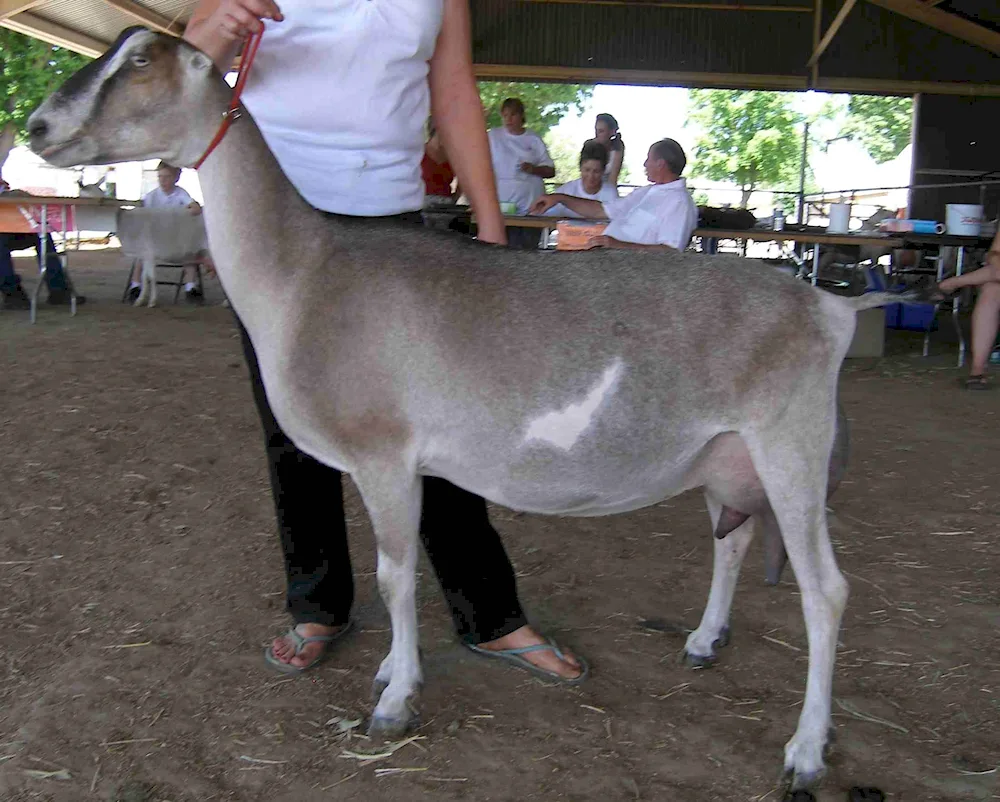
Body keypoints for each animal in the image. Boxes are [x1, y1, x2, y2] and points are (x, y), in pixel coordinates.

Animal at [29, 28, 920, 792]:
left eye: (140, 60)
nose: (37, 126)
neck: (307, 275)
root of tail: (830, 308)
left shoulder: (385, 452)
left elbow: (395, 576)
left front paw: (395, 702)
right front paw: (391, 673)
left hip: (791, 442)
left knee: (825, 591)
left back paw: (805, 752)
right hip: (726, 453)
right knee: (730, 541)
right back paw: (704, 641)